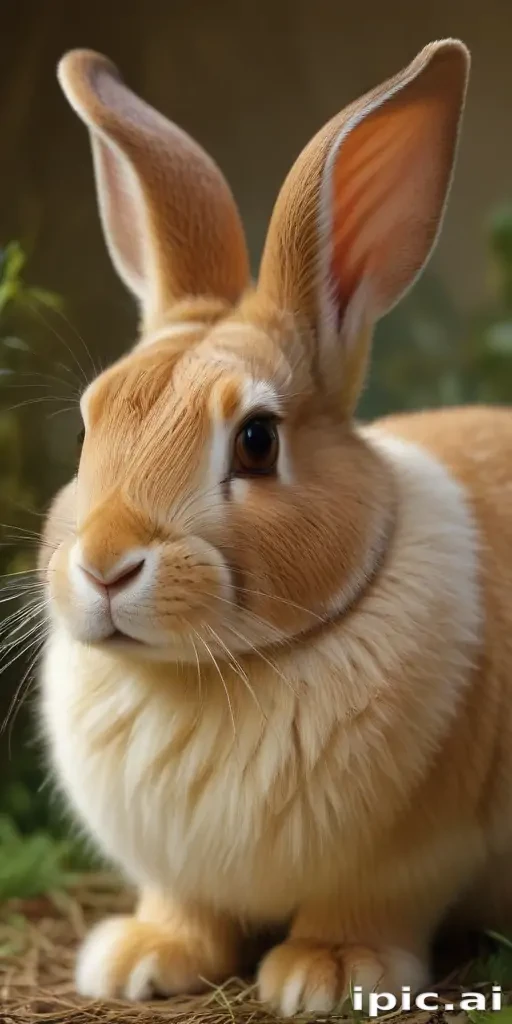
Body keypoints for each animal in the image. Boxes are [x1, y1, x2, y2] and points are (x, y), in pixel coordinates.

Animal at [39, 38, 512, 1015]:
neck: (205, 676)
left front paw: (327, 973)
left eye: (257, 442)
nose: (105, 566)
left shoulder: (409, 860)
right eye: (90, 426)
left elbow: (369, 907)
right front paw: (139, 958)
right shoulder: (175, 870)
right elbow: (183, 907)